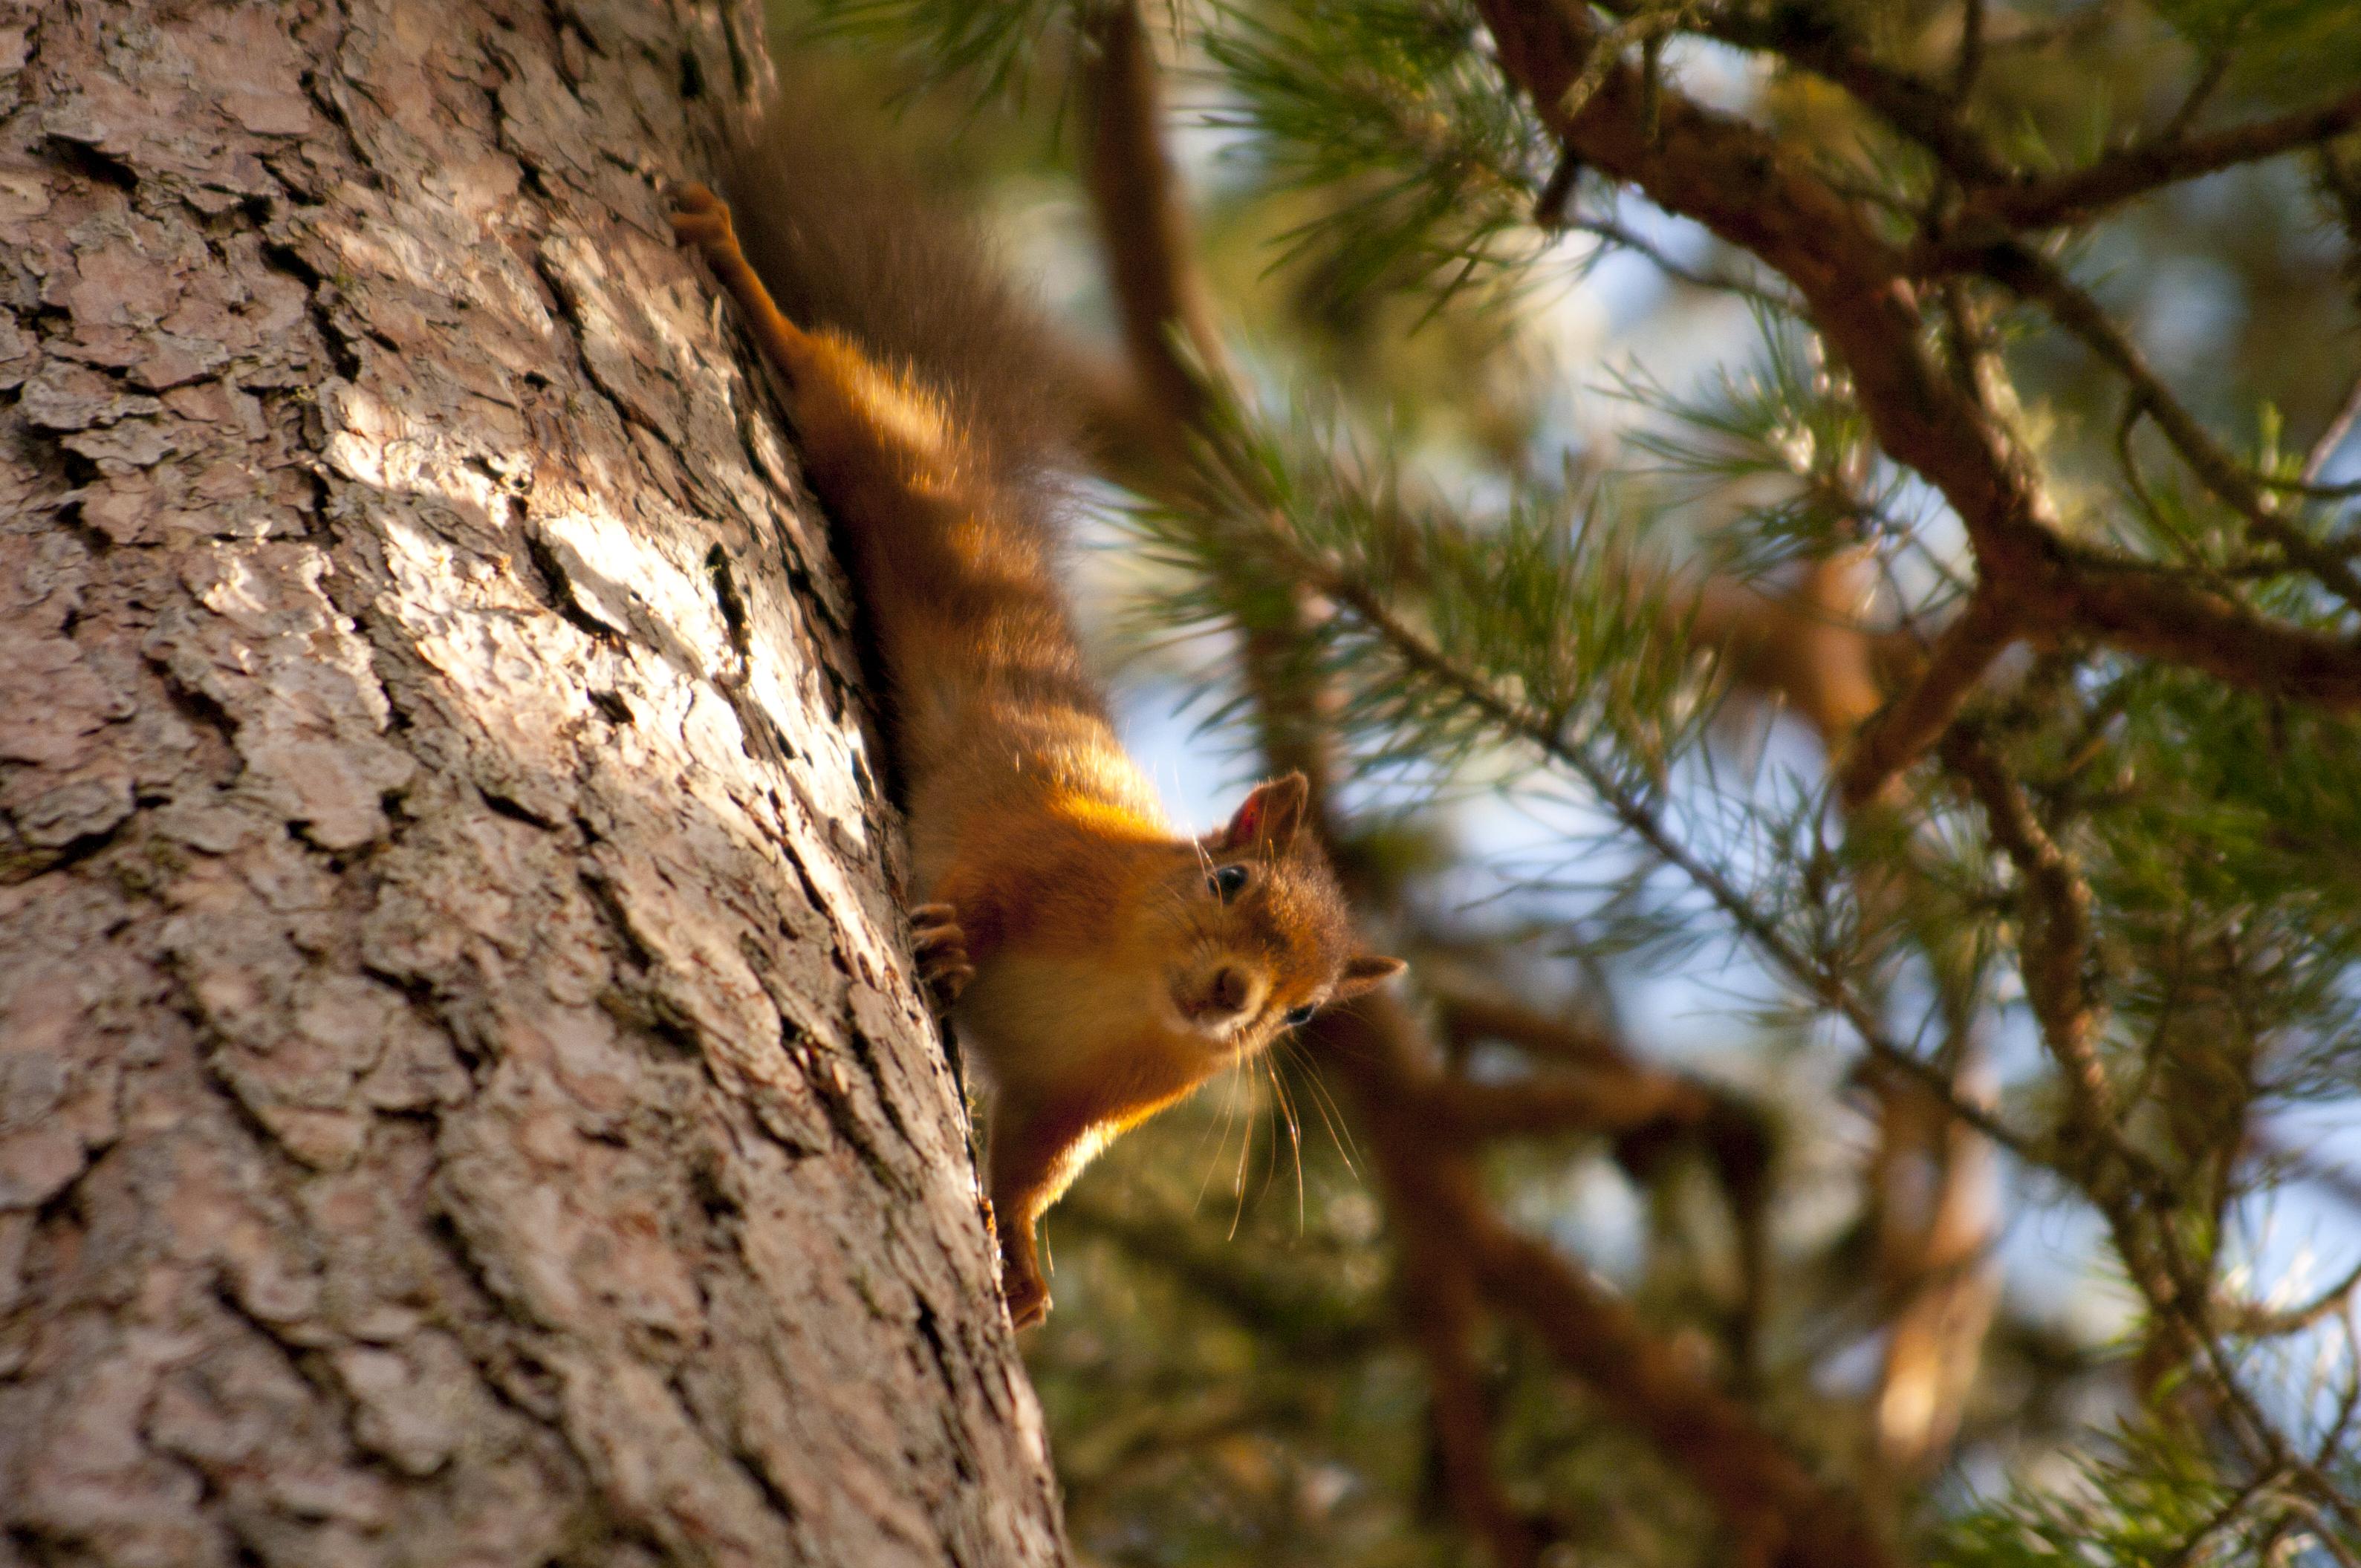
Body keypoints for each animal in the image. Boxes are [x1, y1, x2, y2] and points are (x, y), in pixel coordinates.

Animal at [670, 110, 1397, 1322]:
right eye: (1227, 878)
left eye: (1303, 1014)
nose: (1231, 997)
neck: (1126, 982)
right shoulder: (1047, 853)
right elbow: (984, 877)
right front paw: (949, 938)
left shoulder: (1091, 1097)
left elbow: (1031, 1169)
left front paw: (1017, 1260)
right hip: (910, 484)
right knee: (843, 383)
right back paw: (738, 266)